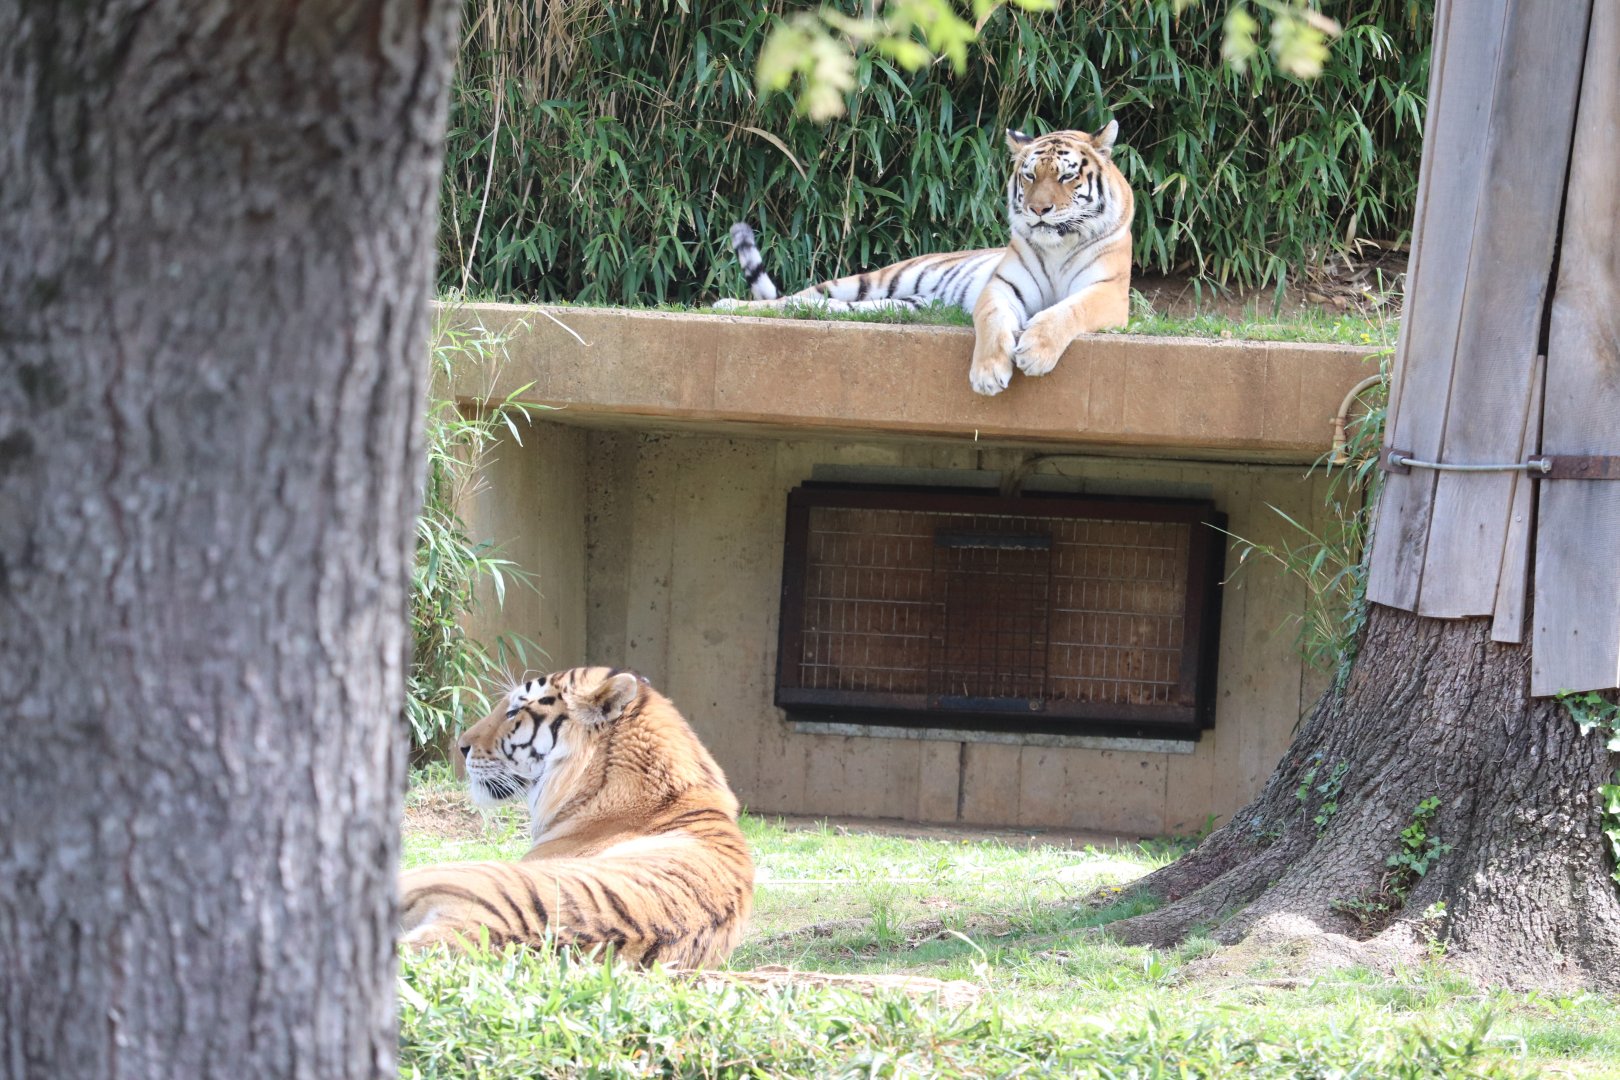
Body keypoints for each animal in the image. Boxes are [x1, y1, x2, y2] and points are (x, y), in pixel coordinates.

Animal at [714, 122, 1133, 398]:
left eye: (1066, 177)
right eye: (1030, 176)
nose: (1038, 210)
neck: (1058, 244)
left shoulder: (1107, 293)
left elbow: (1068, 311)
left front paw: (1035, 350)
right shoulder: (1002, 287)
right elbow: (993, 320)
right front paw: (987, 374)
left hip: (896, 304)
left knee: (817, 307)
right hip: (870, 280)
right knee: (791, 300)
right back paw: (726, 304)